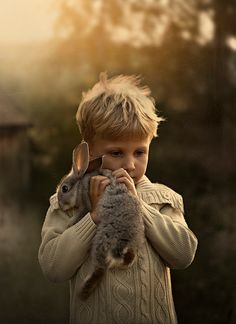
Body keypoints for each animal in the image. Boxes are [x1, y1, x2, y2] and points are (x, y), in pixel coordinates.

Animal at [56, 143, 145, 300]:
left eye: (64, 189)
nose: (60, 205)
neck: (80, 184)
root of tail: (124, 241)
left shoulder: (85, 202)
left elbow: (81, 213)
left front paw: (70, 224)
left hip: (102, 241)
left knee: (100, 268)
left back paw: (83, 292)